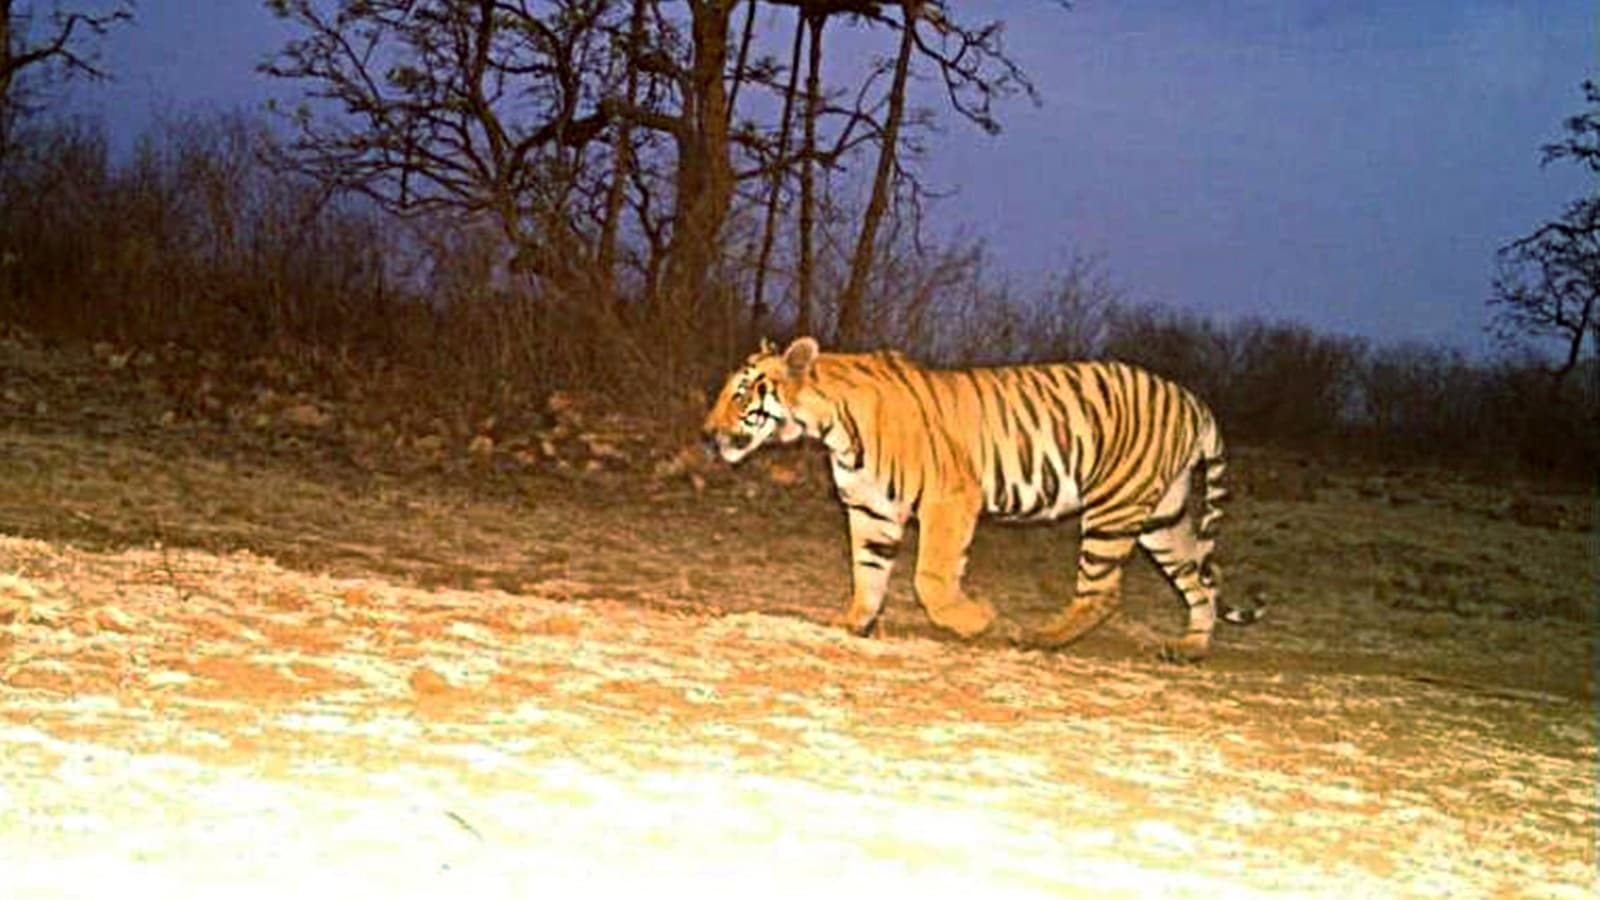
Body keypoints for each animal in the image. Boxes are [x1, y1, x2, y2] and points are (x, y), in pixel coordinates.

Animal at [701, 336, 1264, 660]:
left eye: (740, 393)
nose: (706, 436)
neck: (832, 429)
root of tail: (1192, 399)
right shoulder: (870, 509)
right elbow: (868, 574)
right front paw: (854, 624)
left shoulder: (948, 499)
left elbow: (930, 578)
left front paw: (977, 620)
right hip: (1161, 516)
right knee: (1202, 577)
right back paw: (1190, 647)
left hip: (1114, 507)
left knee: (1103, 591)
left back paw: (1040, 639)